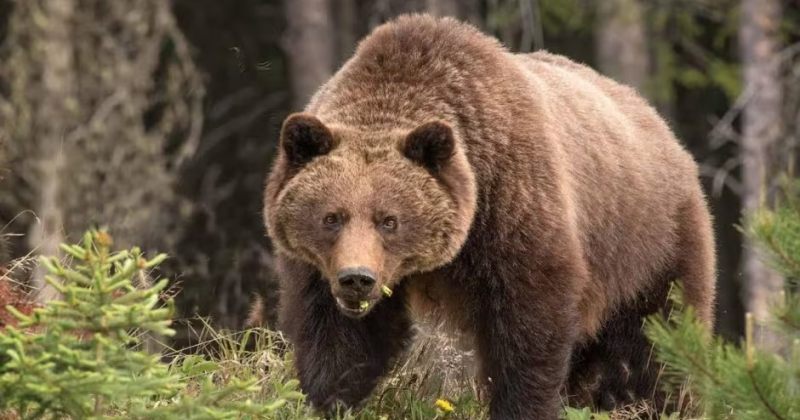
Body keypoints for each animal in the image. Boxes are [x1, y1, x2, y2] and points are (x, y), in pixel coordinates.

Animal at [262, 14, 716, 419]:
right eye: (332, 217)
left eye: (389, 220)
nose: (357, 278)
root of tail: (665, 130)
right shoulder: (319, 270)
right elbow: (339, 340)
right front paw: (329, 400)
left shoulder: (512, 208)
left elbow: (528, 331)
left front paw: (522, 406)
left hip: (650, 245)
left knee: (657, 342)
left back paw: (661, 403)